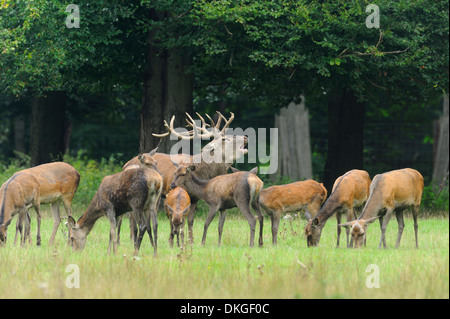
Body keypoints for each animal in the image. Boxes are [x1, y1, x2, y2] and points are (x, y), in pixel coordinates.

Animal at [125, 112, 248, 245]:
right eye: (225, 139)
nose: (245, 137)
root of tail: (126, 163)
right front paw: (177, 240)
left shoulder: (194, 198)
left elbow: (190, 220)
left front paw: (191, 241)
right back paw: (133, 239)